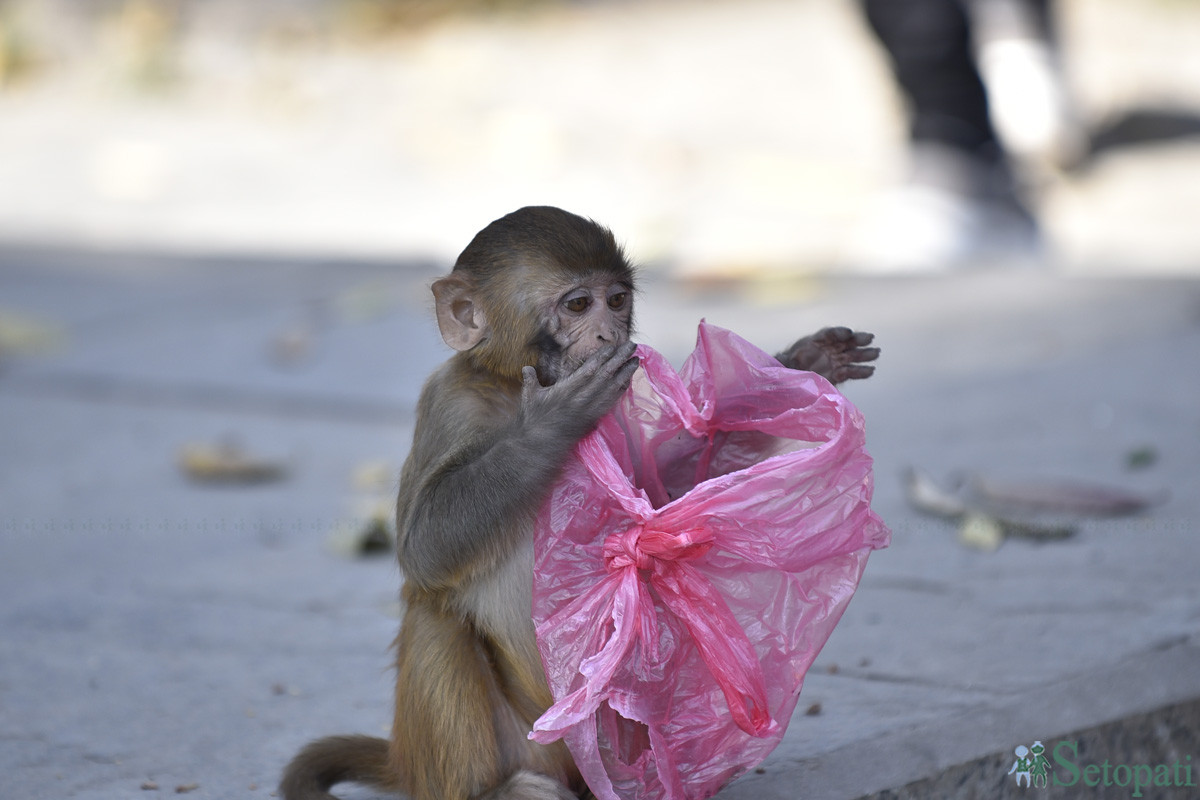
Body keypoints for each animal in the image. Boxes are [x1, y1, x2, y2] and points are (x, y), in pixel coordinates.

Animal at [280, 206, 883, 800]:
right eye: (576, 305)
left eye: (616, 299)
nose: (608, 329)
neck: (511, 388)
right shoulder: (449, 403)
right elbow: (423, 551)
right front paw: (552, 424)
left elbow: (669, 489)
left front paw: (805, 361)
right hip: (523, 744)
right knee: (436, 616)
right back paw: (488, 791)